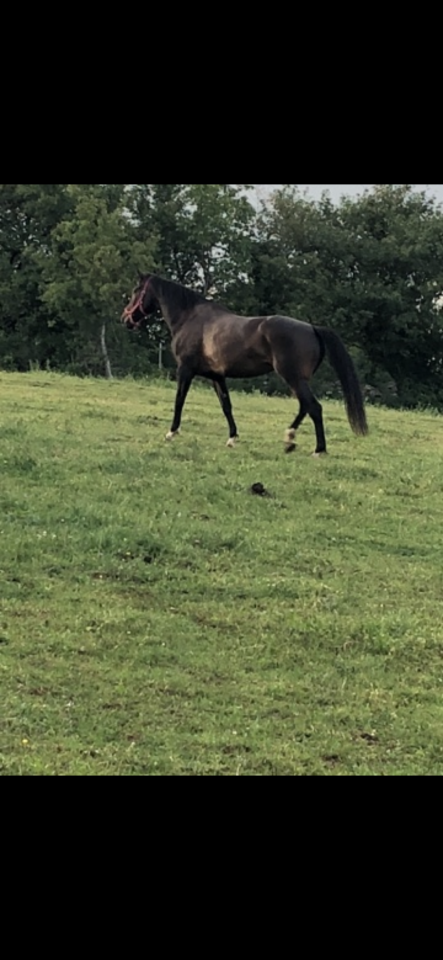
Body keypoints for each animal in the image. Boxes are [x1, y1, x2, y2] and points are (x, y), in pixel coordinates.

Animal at [121, 274, 368, 455]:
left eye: (135, 291)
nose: (125, 319)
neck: (189, 318)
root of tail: (312, 328)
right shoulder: (217, 376)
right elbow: (226, 406)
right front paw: (232, 438)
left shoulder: (185, 370)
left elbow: (179, 400)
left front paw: (171, 433)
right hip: (297, 380)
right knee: (305, 407)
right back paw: (289, 439)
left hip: (292, 377)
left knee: (313, 407)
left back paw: (318, 449)